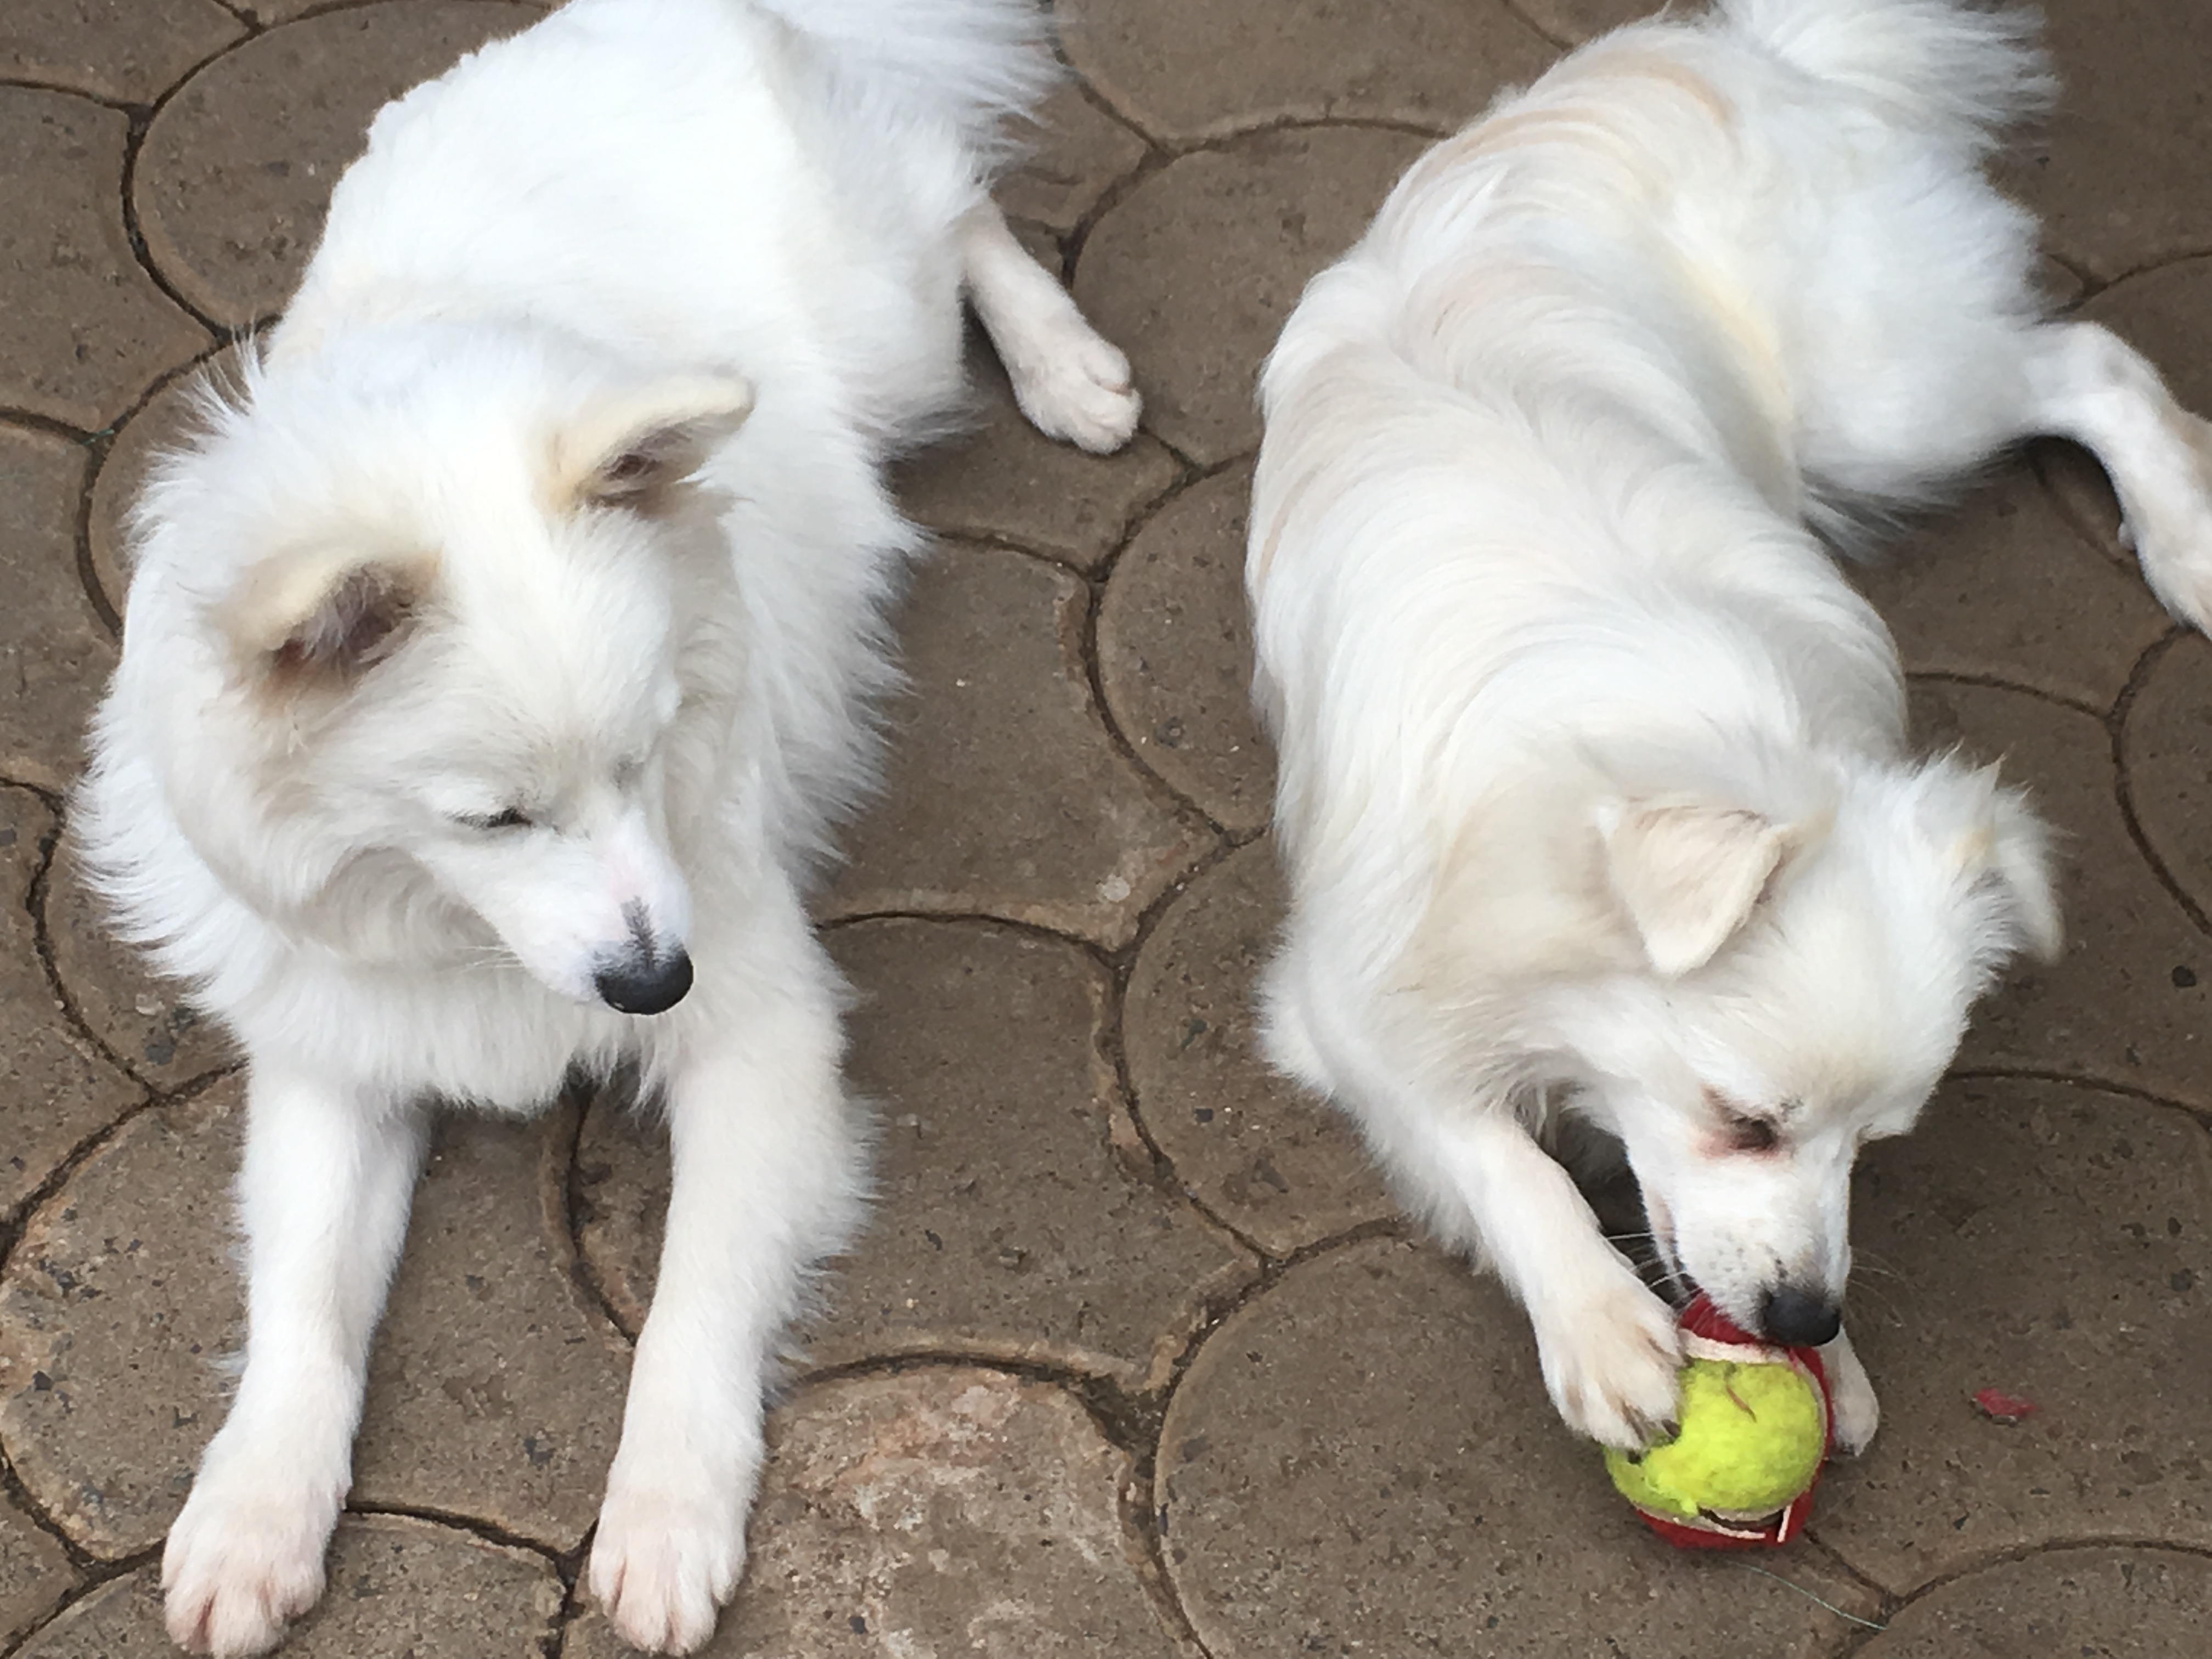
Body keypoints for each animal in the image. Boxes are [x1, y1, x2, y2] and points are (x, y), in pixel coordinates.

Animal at [75, 2, 1138, 1652]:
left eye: (644, 757)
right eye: (493, 818)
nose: (654, 985)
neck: (461, 936)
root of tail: (657, 12)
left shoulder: (762, 1036)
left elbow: (695, 1306)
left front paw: (667, 1516)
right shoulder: (333, 1060)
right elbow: (303, 1306)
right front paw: (253, 1512)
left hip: (888, 335)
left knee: (959, 208)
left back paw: (1070, 368)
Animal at [1247, 0, 2212, 1459]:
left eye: (1877, 1144)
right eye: (1745, 1121)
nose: (1809, 1316)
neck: (1676, 714)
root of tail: (1744, 53)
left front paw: (1833, 1371)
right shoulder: (1349, 1005)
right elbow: (1501, 1154)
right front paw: (1601, 1325)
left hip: (1882, 410)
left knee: (2083, 360)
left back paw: (2191, 540)